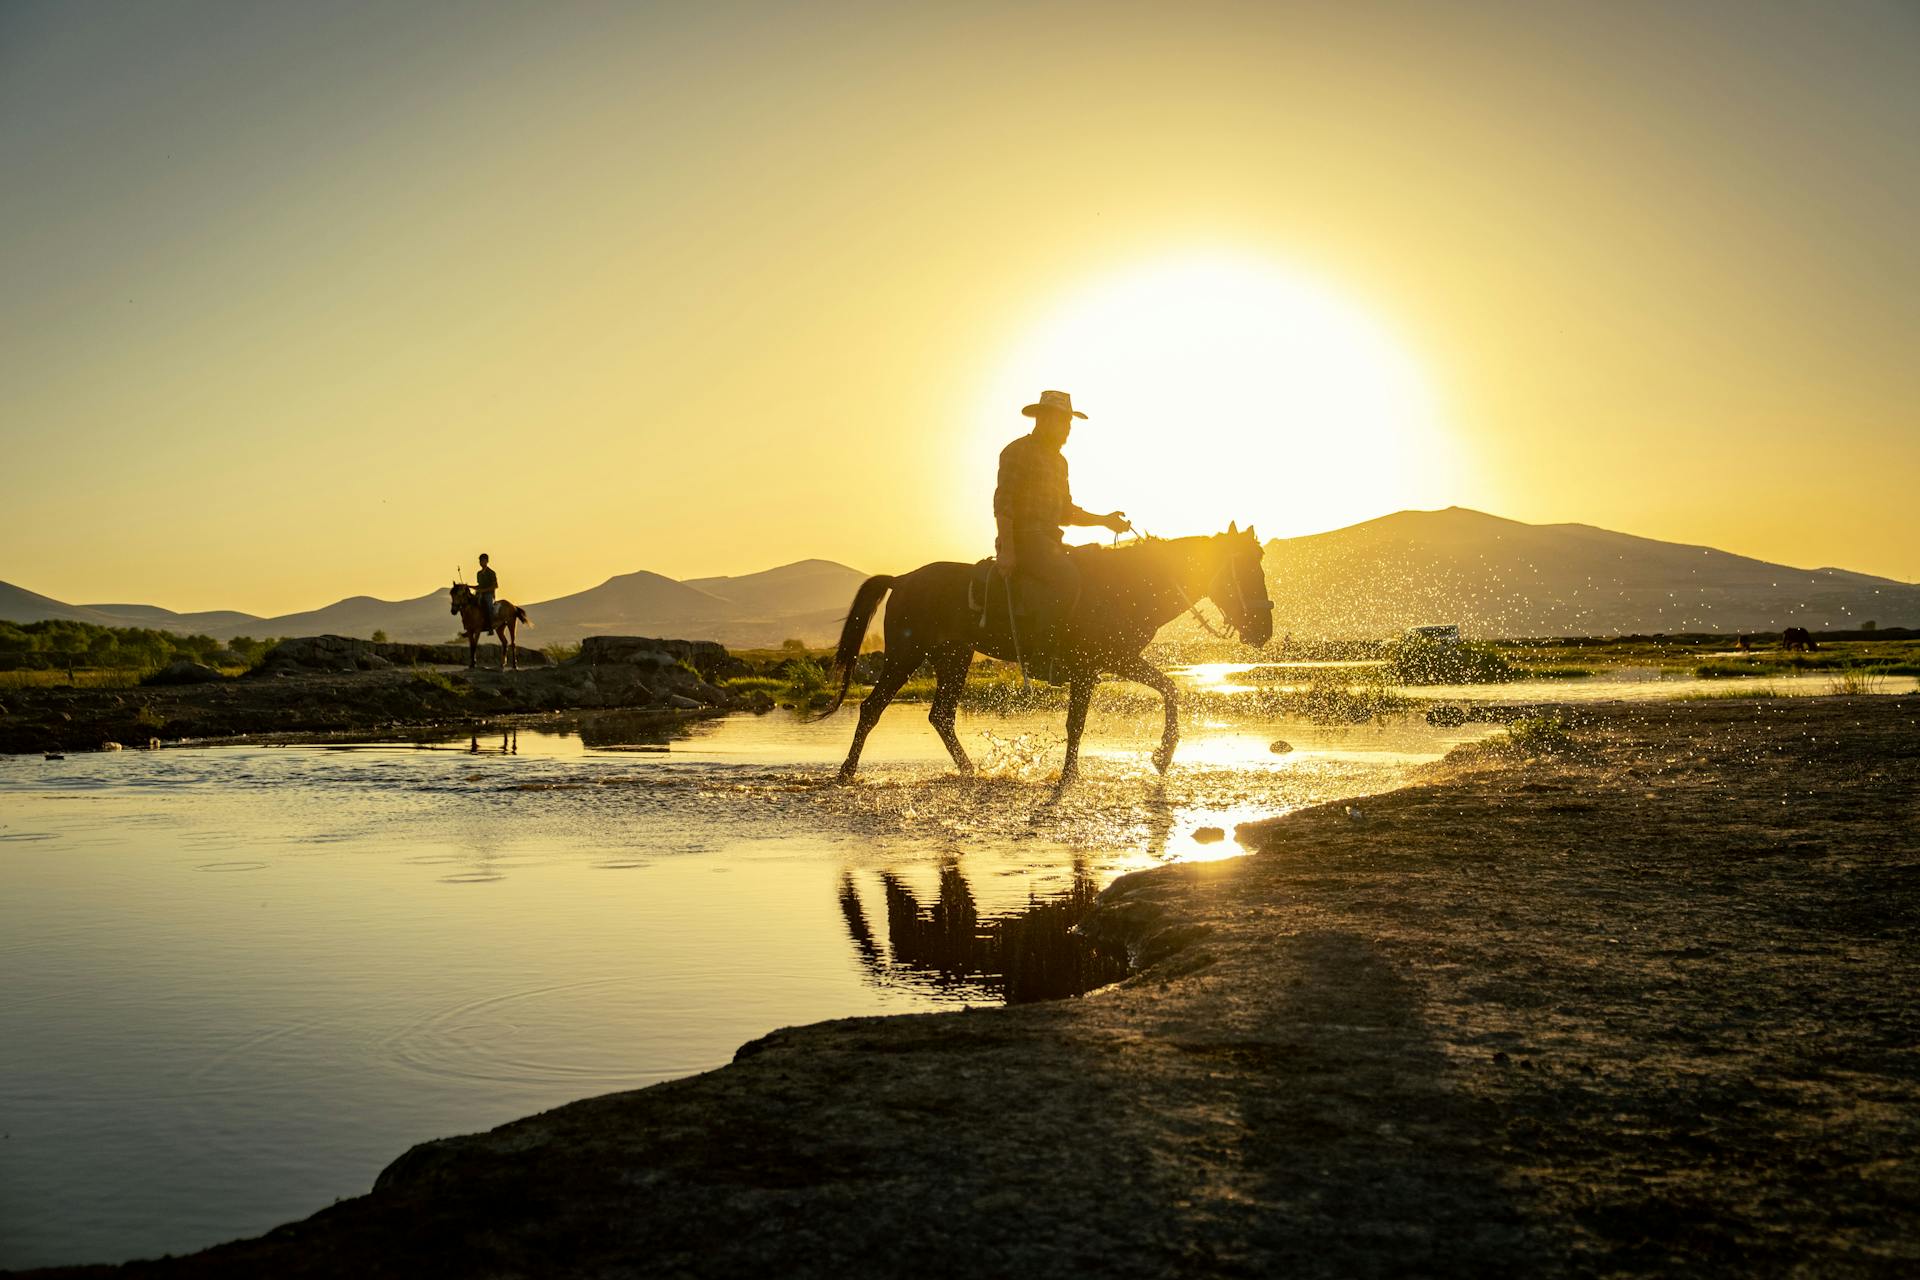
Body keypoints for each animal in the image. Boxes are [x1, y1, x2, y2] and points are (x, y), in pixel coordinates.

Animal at [814, 529, 1274, 782]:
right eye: (1245, 569)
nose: (1264, 629)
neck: (1127, 584)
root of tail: (902, 578)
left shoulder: (1114, 661)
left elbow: (1168, 688)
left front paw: (1162, 756)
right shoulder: (1097, 664)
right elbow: (1079, 722)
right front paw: (1074, 775)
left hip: (954, 656)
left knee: (941, 715)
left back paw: (971, 771)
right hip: (906, 655)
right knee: (872, 708)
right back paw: (846, 773)